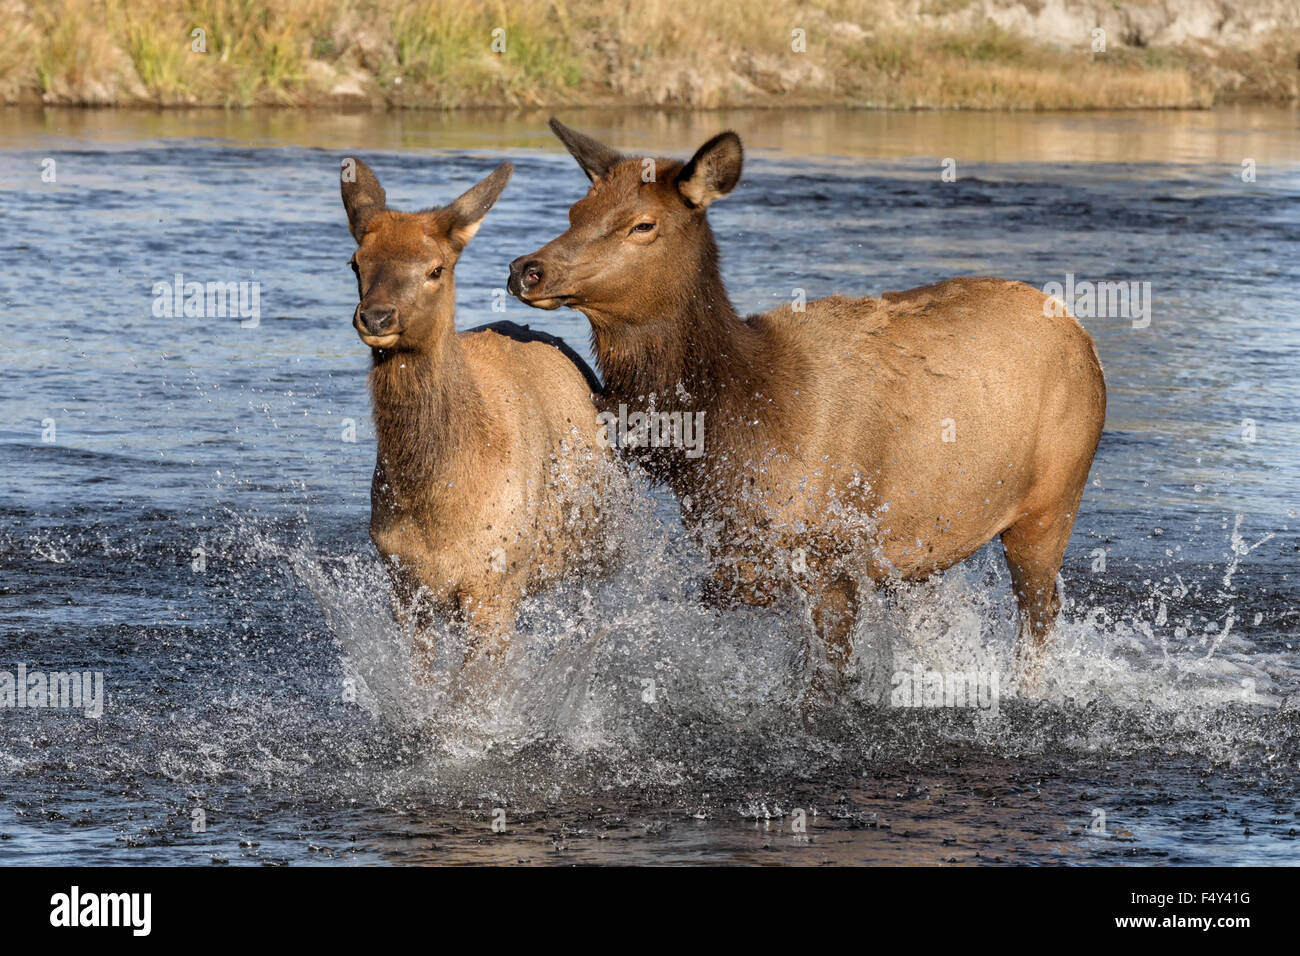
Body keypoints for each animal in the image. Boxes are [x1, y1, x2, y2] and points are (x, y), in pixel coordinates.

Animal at [340, 156, 614, 692]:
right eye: (356, 262)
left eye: (436, 268)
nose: (377, 317)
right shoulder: (403, 585)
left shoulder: (495, 585)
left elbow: (470, 698)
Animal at [507, 119, 1107, 707]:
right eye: (575, 211)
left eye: (642, 225)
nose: (525, 269)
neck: (728, 429)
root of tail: (1082, 334)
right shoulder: (741, 558)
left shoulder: (825, 557)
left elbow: (825, 682)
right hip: (925, 542)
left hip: (1051, 504)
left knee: (1040, 616)